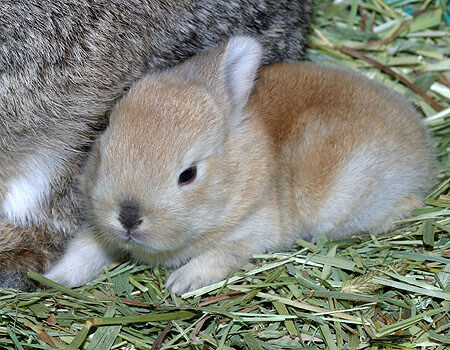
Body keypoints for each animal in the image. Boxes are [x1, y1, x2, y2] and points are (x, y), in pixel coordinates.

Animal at [44, 37, 432, 294]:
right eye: (103, 150)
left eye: (188, 174)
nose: (127, 216)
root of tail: (422, 144)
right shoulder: (98, 230)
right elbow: (85, 249)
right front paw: (54, 278)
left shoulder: (253, 231)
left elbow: (220, 255)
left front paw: (180, 283)